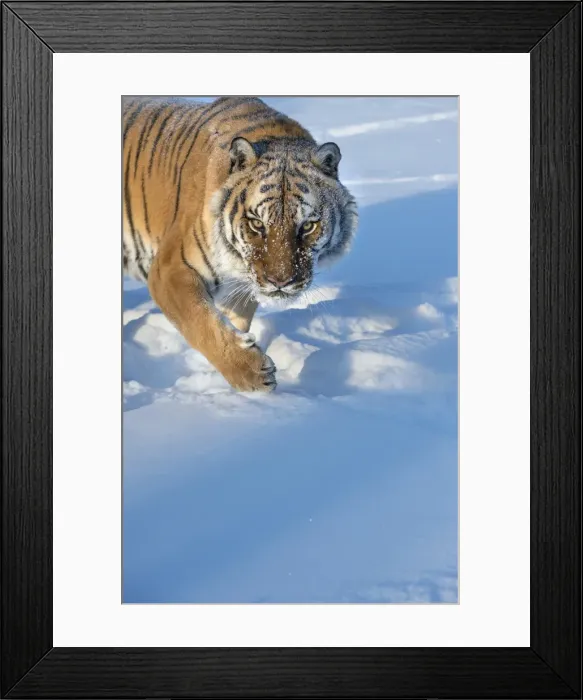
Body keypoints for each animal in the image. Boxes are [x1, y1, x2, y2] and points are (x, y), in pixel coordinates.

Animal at [123, 96, 358, 392]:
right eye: (257, 224)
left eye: (307, 226)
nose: (281, 282)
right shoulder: (170, 270)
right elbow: (201, 323)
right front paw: (252, 374)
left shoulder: (240, 289)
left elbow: (232, 320)